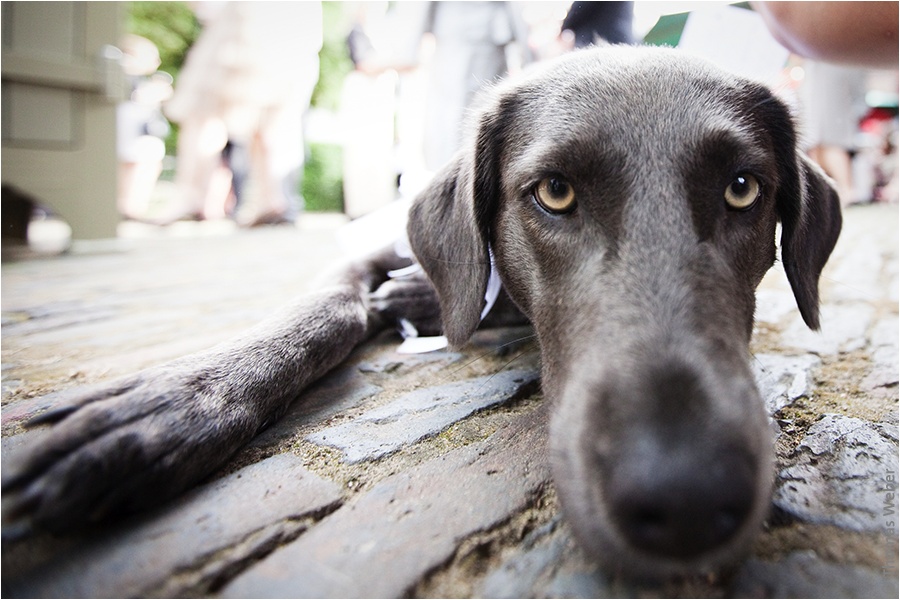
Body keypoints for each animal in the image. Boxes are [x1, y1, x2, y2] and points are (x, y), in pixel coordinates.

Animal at [3, 47, 840, 576]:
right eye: (555, 192)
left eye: (742, 188)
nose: (688, 498)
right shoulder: (358, 249)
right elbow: (325, 310)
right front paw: (164, 410)